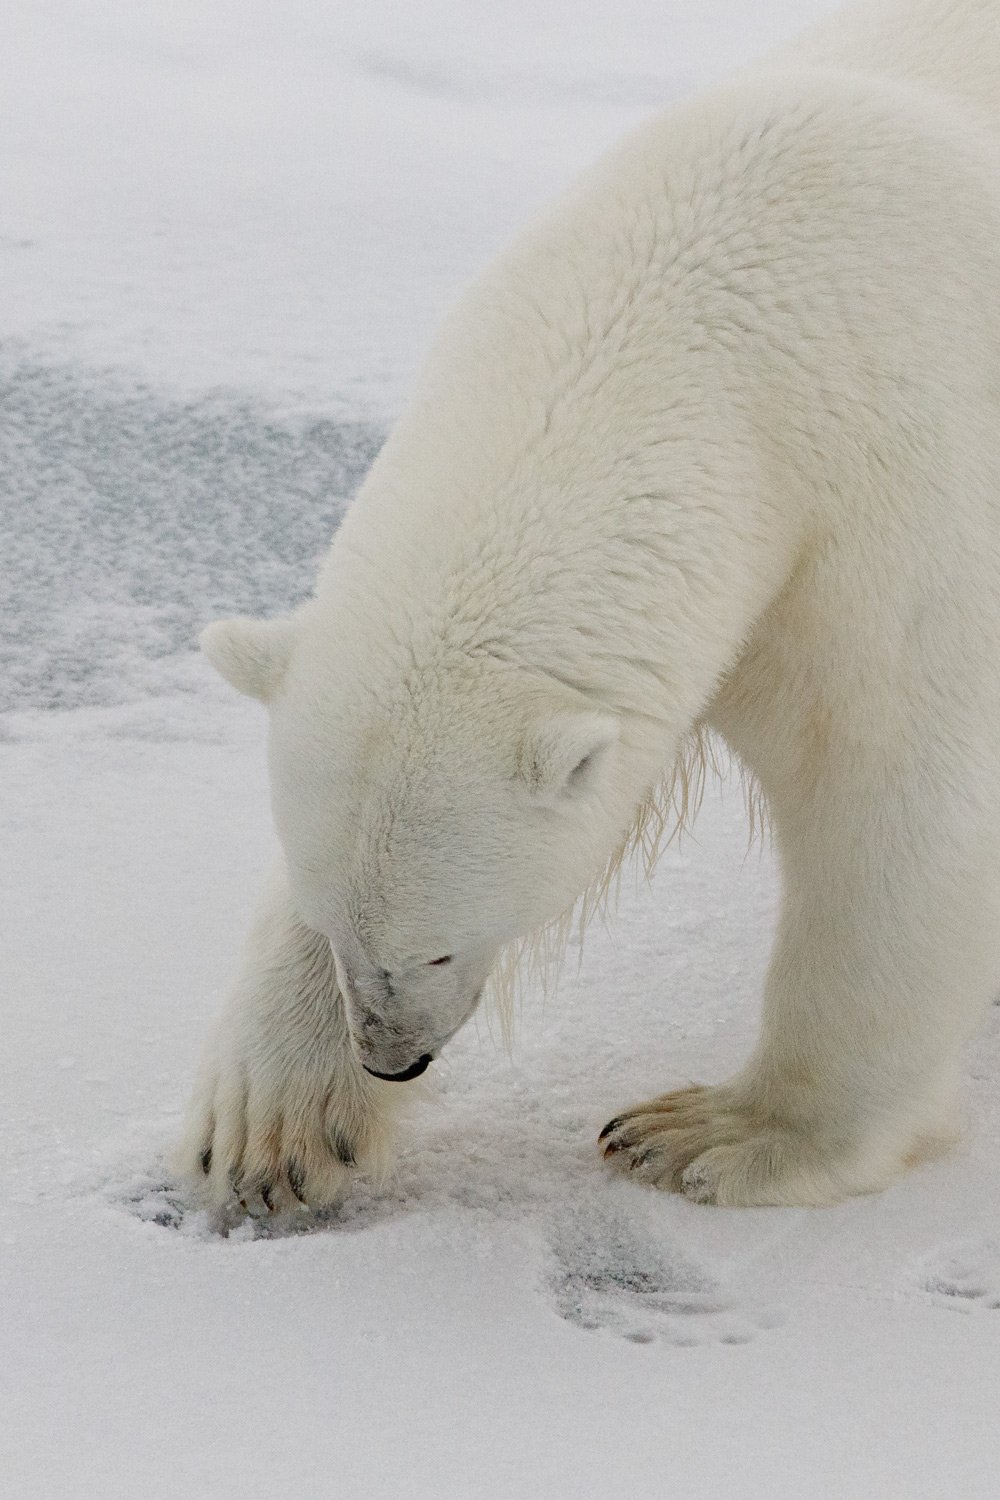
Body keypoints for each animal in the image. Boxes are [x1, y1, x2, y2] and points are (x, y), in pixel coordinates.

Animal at [176, 0, 1000, 1212]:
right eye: (336, 932)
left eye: (437, 946)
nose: (393, 1056)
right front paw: (272, 1124)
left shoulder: (894, 493)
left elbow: (895, 797)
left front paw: (713, 1134)